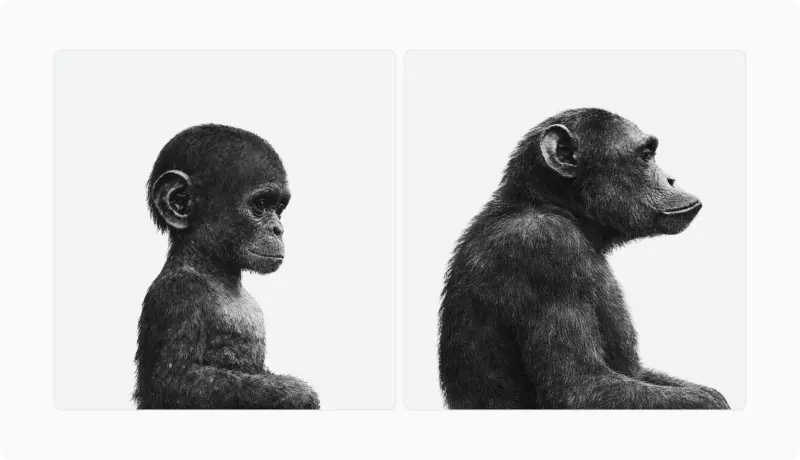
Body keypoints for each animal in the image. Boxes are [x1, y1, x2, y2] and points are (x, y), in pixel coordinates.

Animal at [133, 124, 320, 409]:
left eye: (279, 208)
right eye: (261, 205)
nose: (278, 229)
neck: (217, 271)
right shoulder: (178, 294)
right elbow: (175, 382)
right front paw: (298, 393)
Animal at [438, 108, 730, 409]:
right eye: (646, 155)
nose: (671, 178)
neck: (556, 206)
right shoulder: (544, 246)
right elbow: (578, 388)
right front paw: (714, 401)